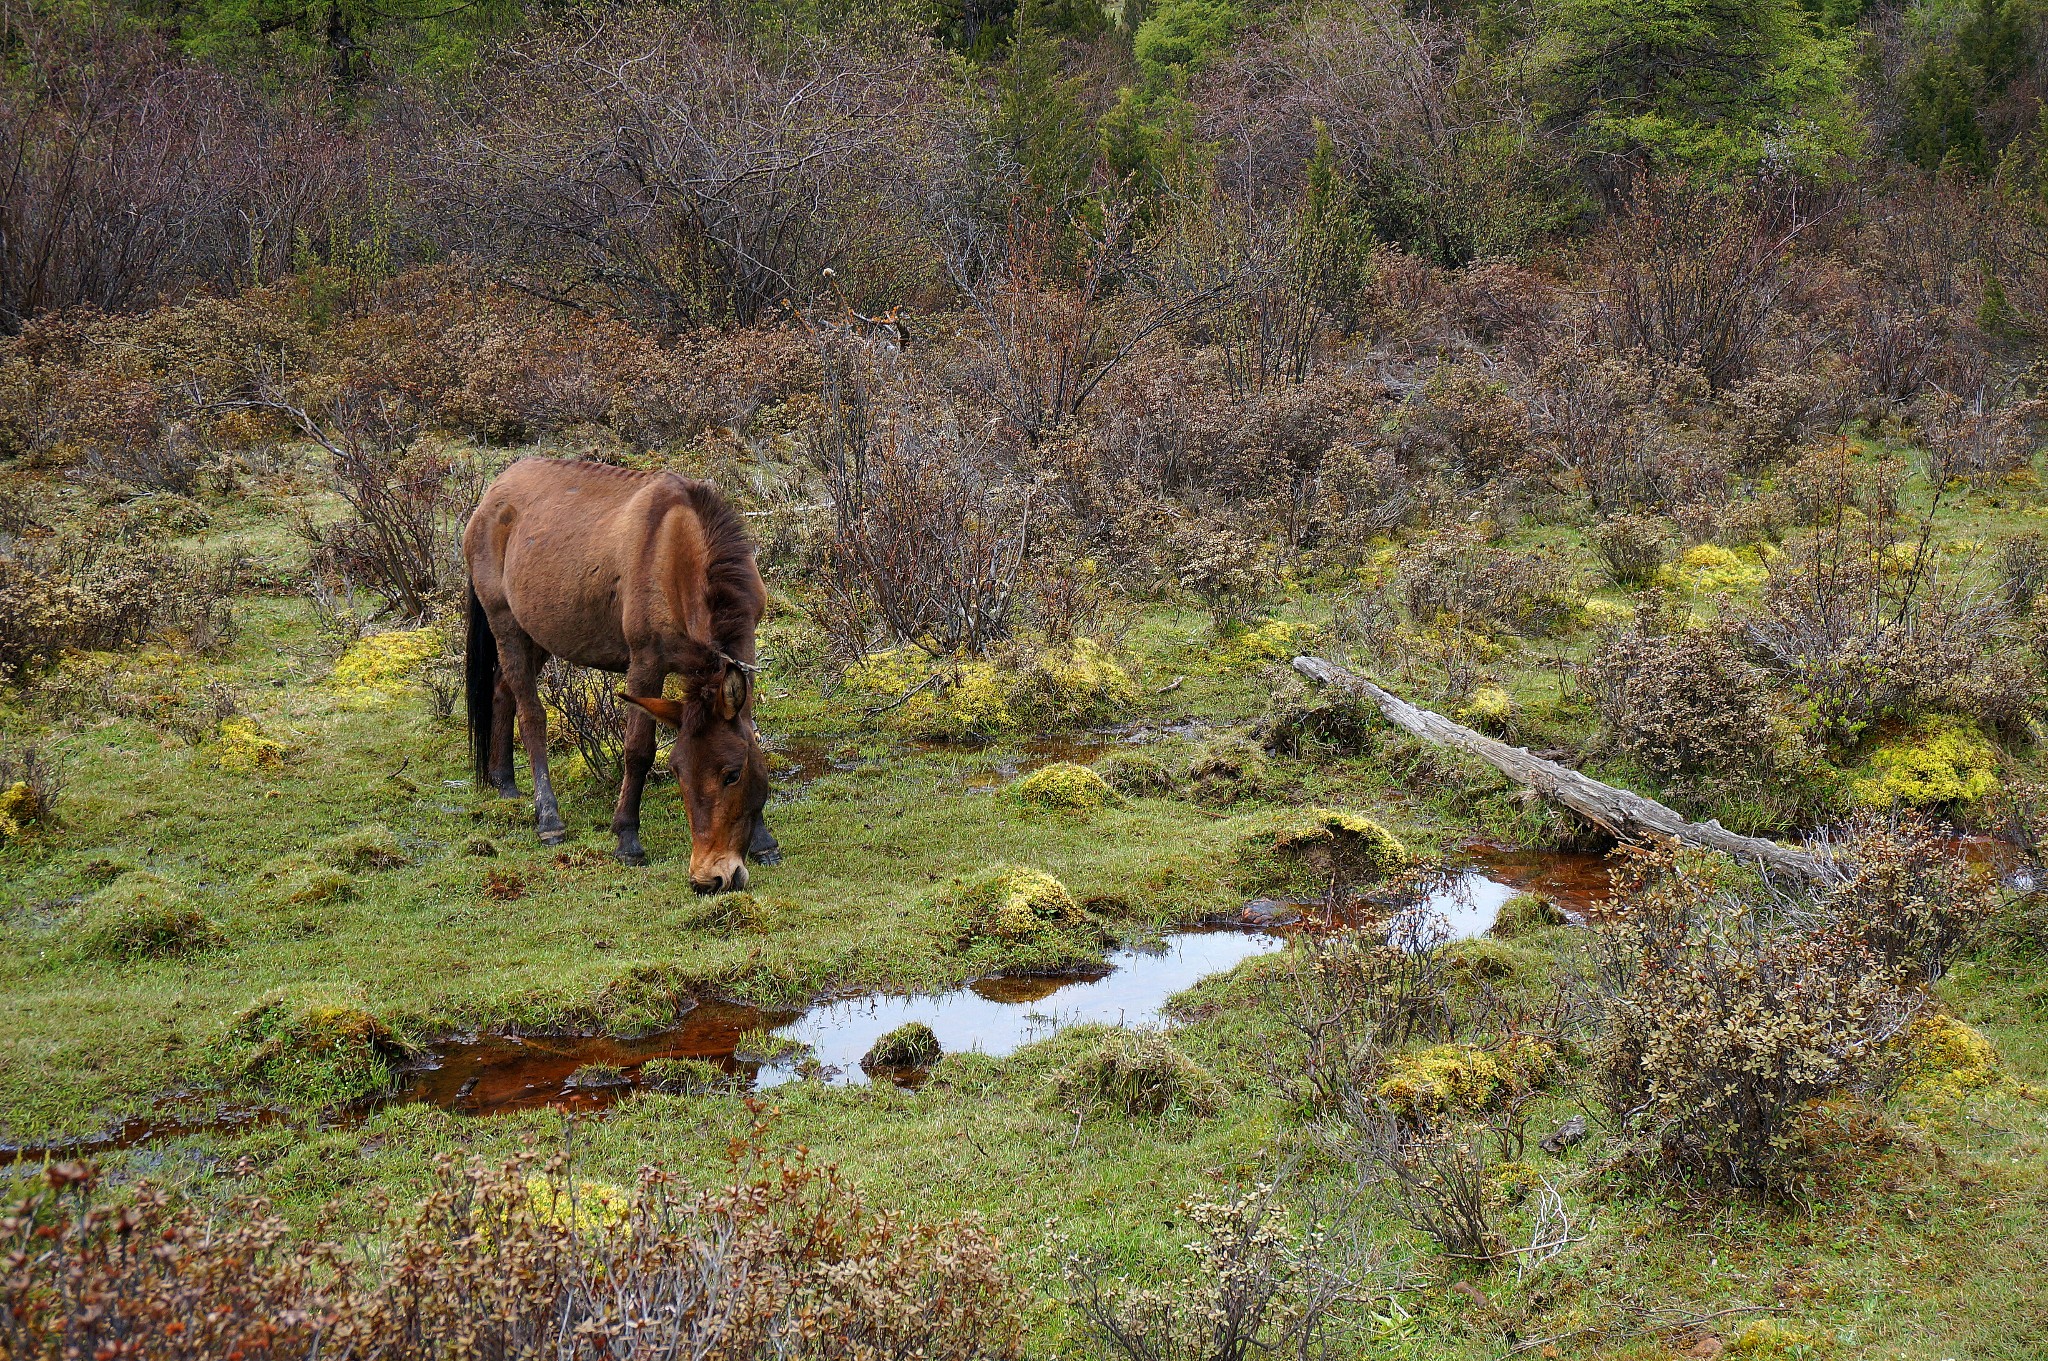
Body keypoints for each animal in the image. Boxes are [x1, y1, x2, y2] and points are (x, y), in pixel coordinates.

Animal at [464, 458, 774, 892]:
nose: (709, 878)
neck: (683, 551)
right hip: (505, 622)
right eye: (677, 771)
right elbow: (638, 750)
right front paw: (627, 838)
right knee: (531, 715)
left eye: (732, 774)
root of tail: (492, 493)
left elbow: (748, 735)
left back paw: (504, 780)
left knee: (501, 691)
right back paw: (548, 819)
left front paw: (763, 841)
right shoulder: (645, 663)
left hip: (537, 633)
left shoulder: (744, 648)